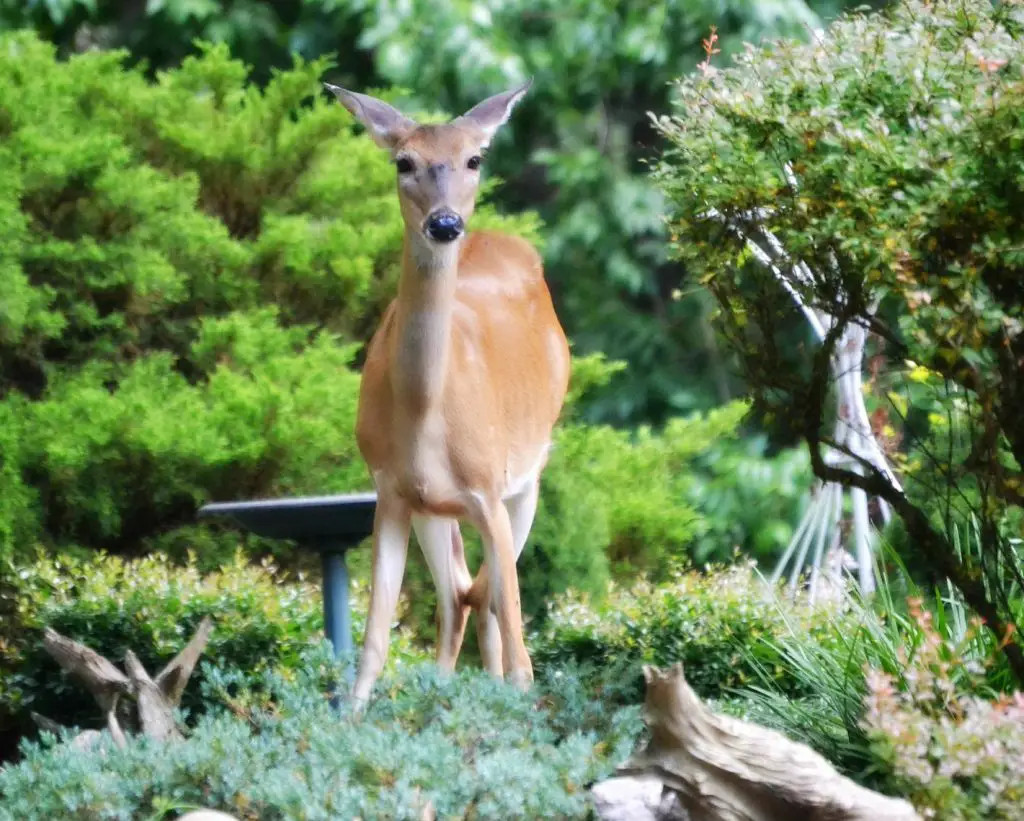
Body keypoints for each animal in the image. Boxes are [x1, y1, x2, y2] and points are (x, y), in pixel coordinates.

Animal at [323, 79, 573, 708]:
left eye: (474, 159)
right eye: (403, 162)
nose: (444, 224)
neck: (423, 410)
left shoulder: (488, 489)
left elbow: (521, 648)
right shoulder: (390, 491)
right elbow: (372, 647)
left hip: (527, 477)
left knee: (487, 603)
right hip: (436, 508)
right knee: (461, 595)